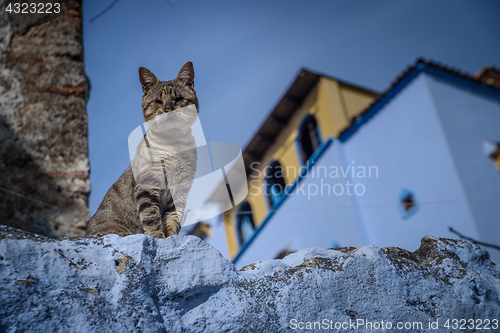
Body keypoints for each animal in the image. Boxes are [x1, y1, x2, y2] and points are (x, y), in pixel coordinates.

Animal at [87, 62, 198, 237]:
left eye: (179, 99)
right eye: (158, 101)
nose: (168, 109)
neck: (174, 144)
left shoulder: (180, 191)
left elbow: (173, 220)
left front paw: (172, 238)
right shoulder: (147, 186)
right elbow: (152, 220)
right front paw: (158, 239)